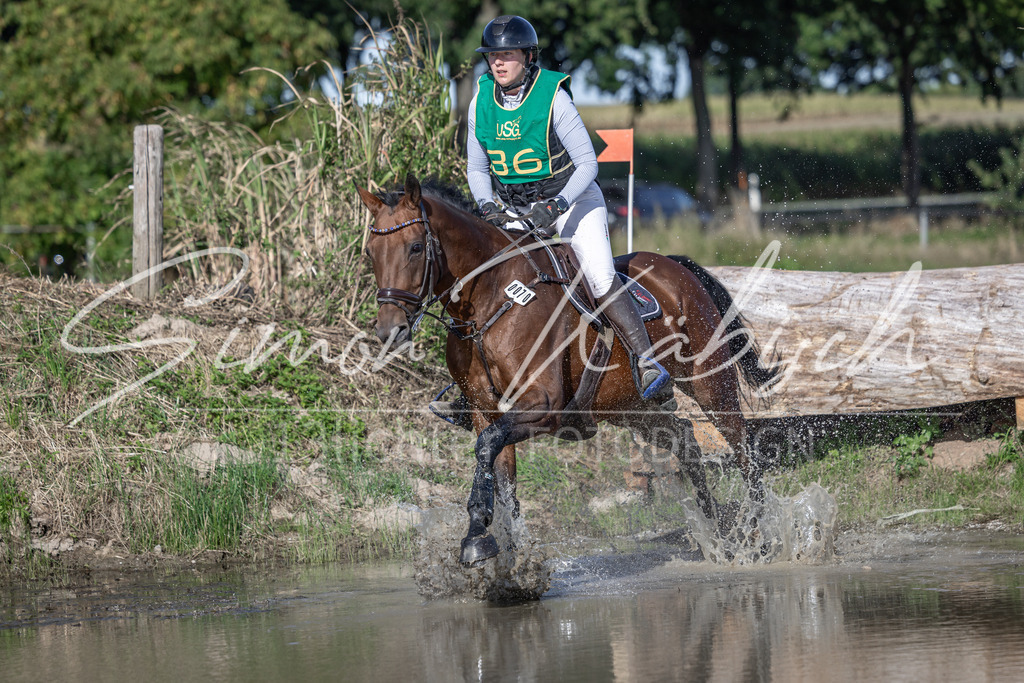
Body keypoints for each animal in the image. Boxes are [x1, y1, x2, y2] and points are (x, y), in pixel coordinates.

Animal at [357, 173, 779, 566]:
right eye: (371, 253)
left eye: (415, 248)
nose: (389, 331)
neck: (491, 300)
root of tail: (675, 265)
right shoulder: (485, 411)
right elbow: (499, 471)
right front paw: (502, 547)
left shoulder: (544, 405)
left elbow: (488, 448)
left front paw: (478, 537)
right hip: (629, 407)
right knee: (686, 440)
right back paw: (719, 533)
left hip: (711, 383)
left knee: (744, 449)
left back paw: (757, 532)